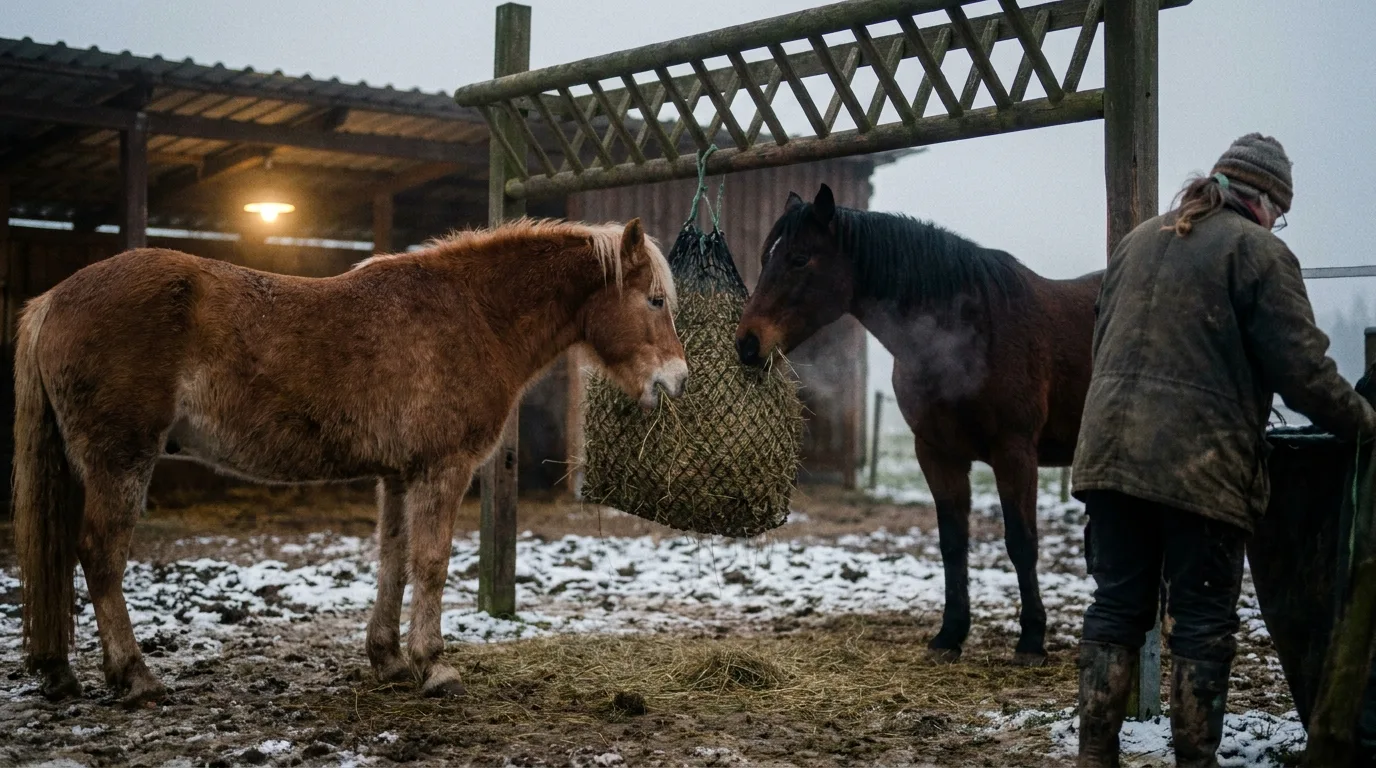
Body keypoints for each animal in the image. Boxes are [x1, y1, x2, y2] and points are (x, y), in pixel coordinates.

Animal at [14, 217, 688, 707]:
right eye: (655, 300)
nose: (676, 381)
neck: (472, 312)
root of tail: (52, 300)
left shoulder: (397, 475)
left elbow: (393, 561)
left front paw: (387, 658)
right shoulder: (442, 469)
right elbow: (431, 563)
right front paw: (433, 665)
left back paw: (59, 672)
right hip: (119, 460)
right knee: (100, 553)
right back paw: (136, 676)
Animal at [735, 185, 1101, 666]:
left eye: (799, 258)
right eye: (765, 256)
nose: (747, 344)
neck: (970, 333)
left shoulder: (1015, 451)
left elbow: (1022, 542)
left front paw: (1031, 641)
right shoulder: (935, 452)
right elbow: (952, 543)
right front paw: (950, 635)